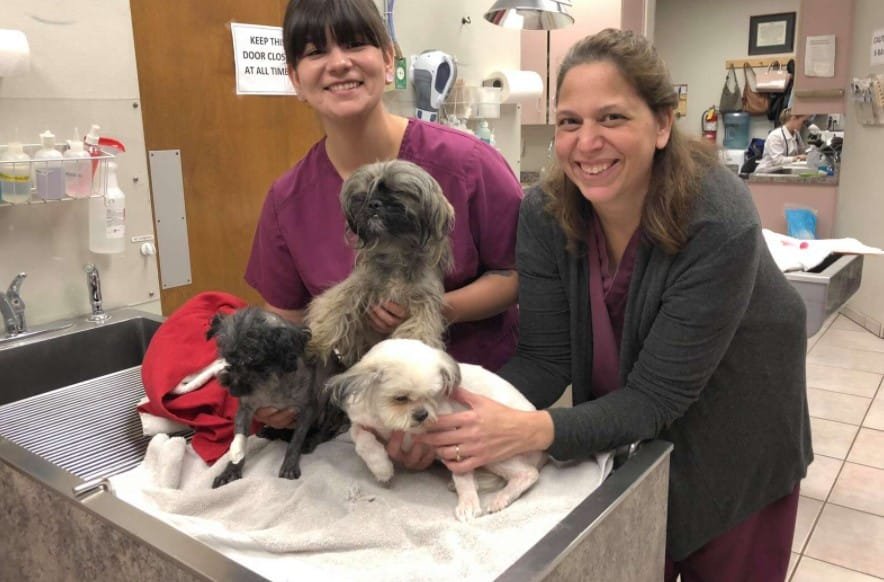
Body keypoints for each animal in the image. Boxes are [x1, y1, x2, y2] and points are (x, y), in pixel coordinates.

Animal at [207, 308, 348, 490]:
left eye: (253, 360)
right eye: (227, 359)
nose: (234, 390)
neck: (271, 383)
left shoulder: (308, 409)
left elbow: (295, 442)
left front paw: (289, 465)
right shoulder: (245, 410)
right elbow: (240, 440)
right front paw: (230, 470)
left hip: (331, 402)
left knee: (325, 432)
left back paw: (311, 440)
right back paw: (272, 431)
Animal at [306, 159, 456, 370]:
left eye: (397, 191)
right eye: (363, 195)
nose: (373, 203)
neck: (395, 251)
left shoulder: (425, 303)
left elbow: (418, 331)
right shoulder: (356, 286)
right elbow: (333, 308)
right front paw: (317, 342)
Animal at [324, 340, 544, 524]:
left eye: (433, 395)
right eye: (400, 398)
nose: (422, 414)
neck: (392, 424)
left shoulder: (455, 440)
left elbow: (462, 476)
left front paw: (468, 503)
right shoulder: (362, 423)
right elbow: (363, 440)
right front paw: (381, 468)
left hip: (492, 451)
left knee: (528, 473)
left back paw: (500, 497)